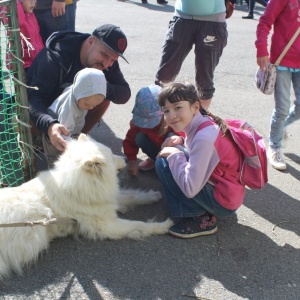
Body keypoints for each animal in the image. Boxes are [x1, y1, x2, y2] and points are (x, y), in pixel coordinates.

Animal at [0, 134, 172, 278]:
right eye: (112, 156)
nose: (125, 157)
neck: (79, 186)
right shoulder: (106, 226)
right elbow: (139, 225)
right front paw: (163, 225)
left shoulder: (106, 198)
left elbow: (132, 196)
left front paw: (153, 196)